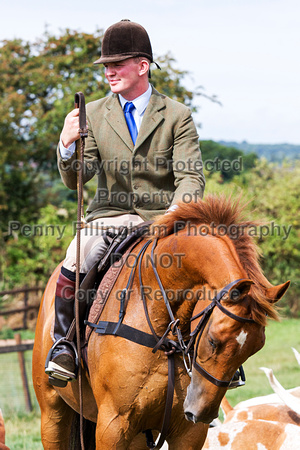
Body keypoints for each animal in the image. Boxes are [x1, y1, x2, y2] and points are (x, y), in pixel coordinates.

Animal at [31, 195, 290, 448]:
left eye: (254, 349)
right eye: (213, 341)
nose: (201, 413)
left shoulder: (188, 432)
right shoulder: (113, 425)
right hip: (53, 417)